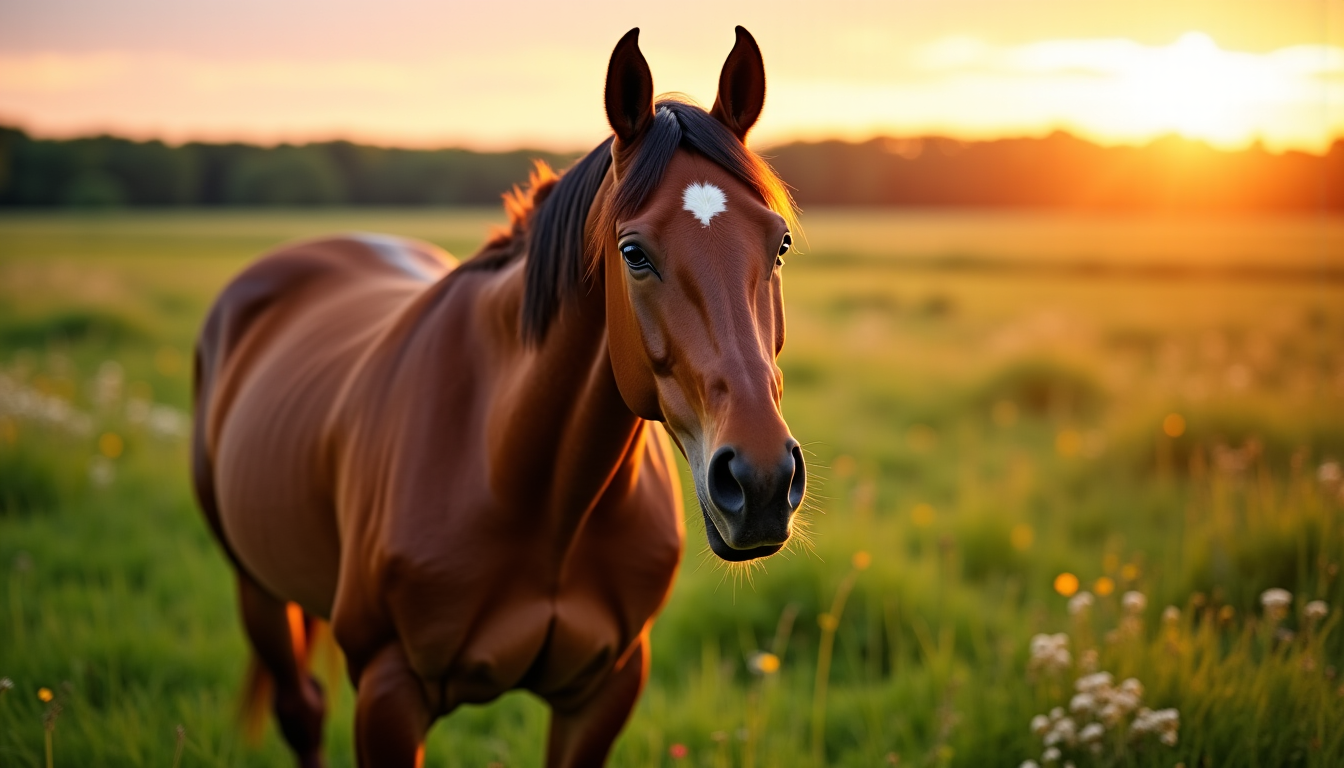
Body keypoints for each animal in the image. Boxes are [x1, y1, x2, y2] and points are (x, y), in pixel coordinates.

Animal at [191, 26, 805, 767]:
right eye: (633, 253)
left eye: (780, 243)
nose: (761, 480)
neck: (528, 488)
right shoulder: (389, 691)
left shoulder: (604, 689)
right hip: (255, 585)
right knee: (300, 709)